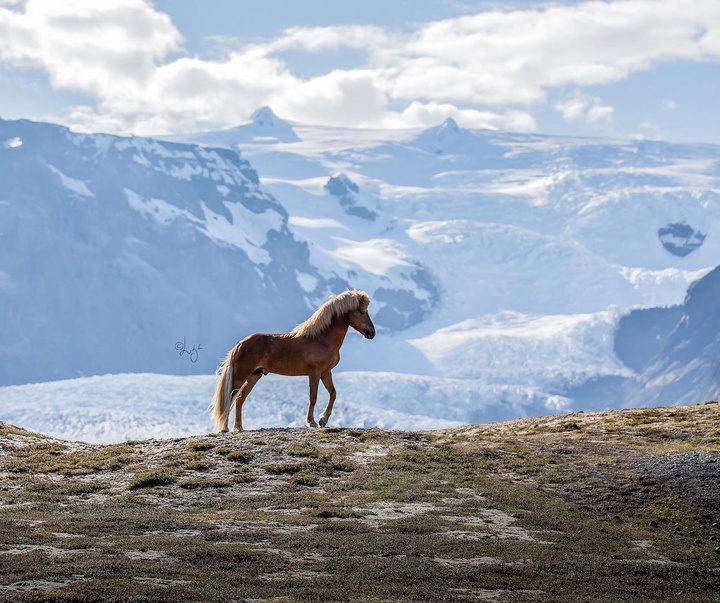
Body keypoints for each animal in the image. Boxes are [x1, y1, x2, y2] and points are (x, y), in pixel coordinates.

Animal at [211, 290, 376, 432]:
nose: (372, 333)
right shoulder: (314, 373)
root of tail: (239, 345)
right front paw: (311, 422)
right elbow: (313, 397)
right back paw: (225, 428)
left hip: (254, 375)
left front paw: (323, 419)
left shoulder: (326, 373)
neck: (321, 339)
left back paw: (238, 428)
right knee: (230, 398)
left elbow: (333, 394)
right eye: (362, 312)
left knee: (239, 399)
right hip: (241, 376)